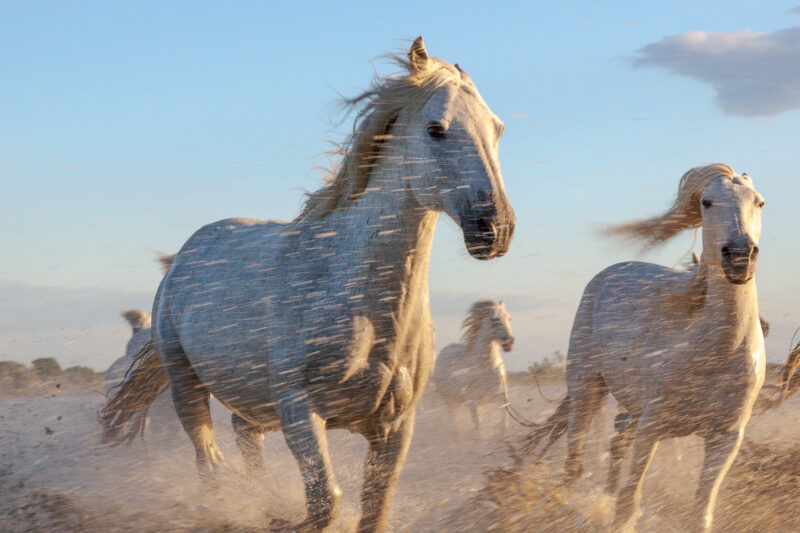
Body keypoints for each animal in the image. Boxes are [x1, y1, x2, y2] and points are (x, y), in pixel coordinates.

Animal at [434, 302, 516, 430]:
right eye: (493, 319)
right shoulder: (472, 401)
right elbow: (477, 424)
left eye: (509, 318)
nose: (509, 343)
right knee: (454, 419)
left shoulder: (501, 396)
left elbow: (504, 421)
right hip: (450, 400)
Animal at [528, 164, 764, 528]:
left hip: (630, 410)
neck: (715, 350)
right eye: (707, 202)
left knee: (614, 445)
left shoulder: (726, 436)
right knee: (575, 463)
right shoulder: (652, 426)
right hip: (587, 389)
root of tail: (608, 272)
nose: (739, 257)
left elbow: (701, 513)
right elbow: (629, 502)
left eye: (759, 202)